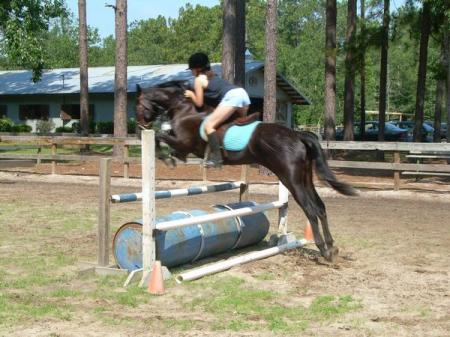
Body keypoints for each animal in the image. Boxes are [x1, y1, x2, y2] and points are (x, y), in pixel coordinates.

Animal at [135, 82, 356, 260]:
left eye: (138, 104)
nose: (140, 127)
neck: (183, 108)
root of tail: (298, 135)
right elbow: (165, 140)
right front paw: (169, 157)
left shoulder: (184, 143)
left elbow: (160, 137)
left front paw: (167, 157)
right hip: (304, 178)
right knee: (320, 207)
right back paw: (332, 247)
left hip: (291, 179)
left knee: (310, 209)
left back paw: (324, 250)